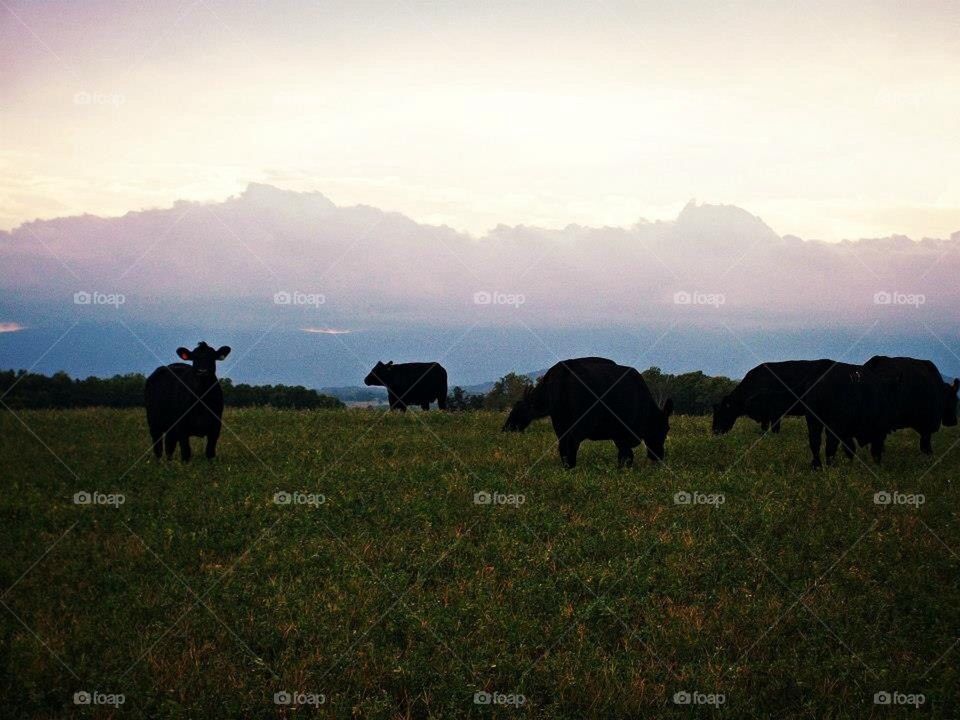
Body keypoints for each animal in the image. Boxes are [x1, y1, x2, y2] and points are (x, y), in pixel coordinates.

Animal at [502, 357, 673, 469]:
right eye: (665, 428)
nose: (657, 456)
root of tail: (561, 371)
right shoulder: (622, 434)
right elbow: (626, 456)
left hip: (561, 425)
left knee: (563, 448)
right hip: (577, 427)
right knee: (571, 447)